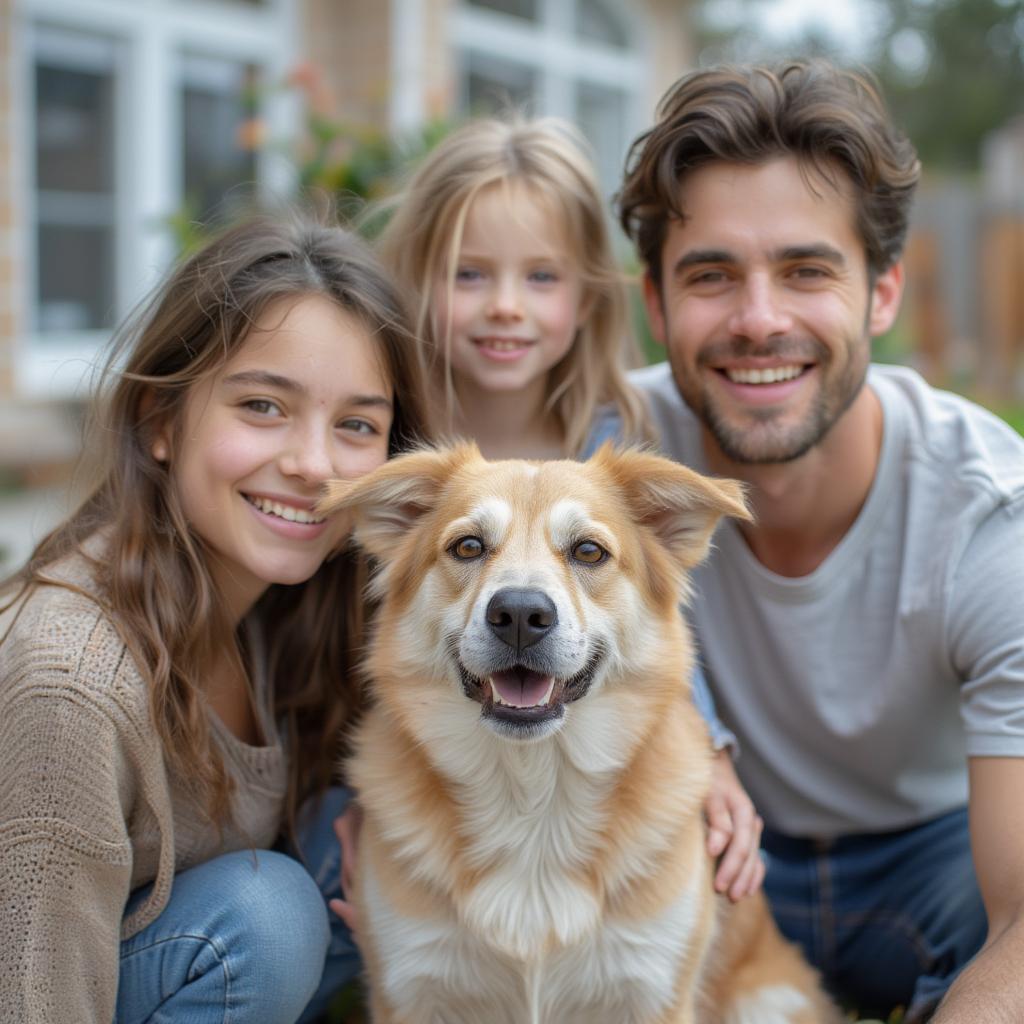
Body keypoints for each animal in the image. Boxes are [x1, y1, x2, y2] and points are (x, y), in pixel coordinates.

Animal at [323, 446, 843, 1024]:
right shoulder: (412, 983)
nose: (519, 614)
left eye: (589, 551)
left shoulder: (653, 987)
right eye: (468, 546)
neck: (531, 794)